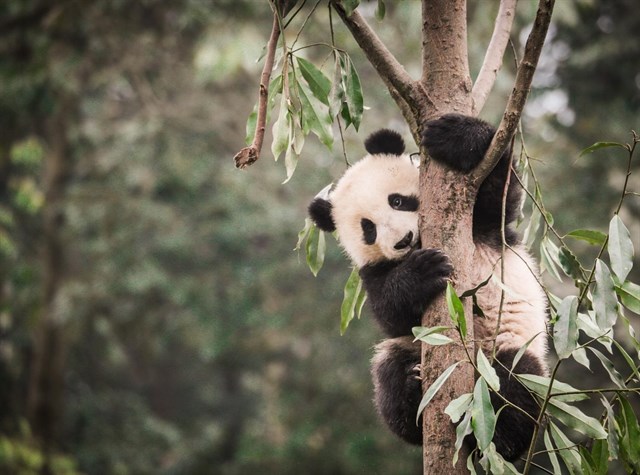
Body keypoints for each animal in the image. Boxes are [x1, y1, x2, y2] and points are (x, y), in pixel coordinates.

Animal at [308, 113, 548, 461]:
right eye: (368, 229)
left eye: (397, 201)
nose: (402, 241)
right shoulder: (373, 272)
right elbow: (390, 314)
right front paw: (422, 272)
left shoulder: (482, 226)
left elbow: (499, 193)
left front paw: (455, 136)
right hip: (407, 350)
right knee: (390, 379)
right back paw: (414, 390)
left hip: (509, 349)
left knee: (516, 382)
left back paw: (495, 437)